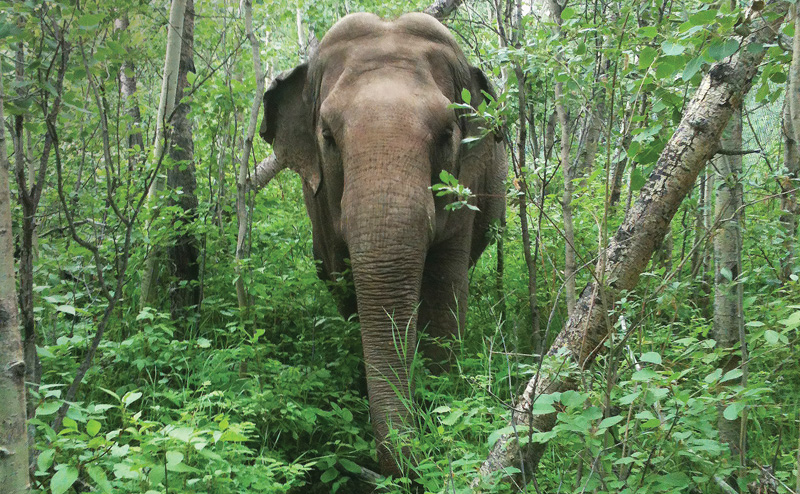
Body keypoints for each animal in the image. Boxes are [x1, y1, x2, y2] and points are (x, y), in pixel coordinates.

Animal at [260, 12, 504, 478]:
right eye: (327, 136)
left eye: (448, 133)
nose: (408, 465)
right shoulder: (318, 200)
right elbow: (345, 283)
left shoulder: (466, 182)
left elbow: (445, 292)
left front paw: (440, 401)